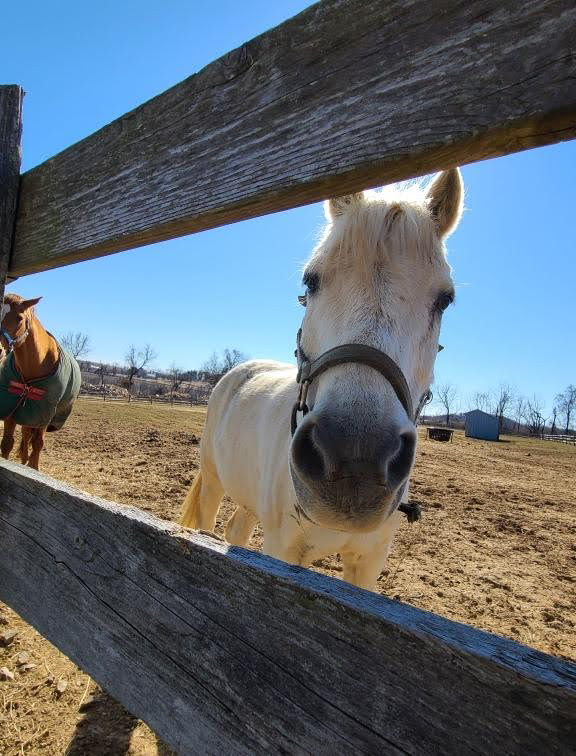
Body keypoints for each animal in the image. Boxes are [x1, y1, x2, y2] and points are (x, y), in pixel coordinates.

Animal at [0, 294, 81, 466]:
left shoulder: (44, 415)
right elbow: (7, 443)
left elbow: (37, 444)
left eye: (19, 318)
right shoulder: (12, 409)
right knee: (25, 435)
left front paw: (33, 468)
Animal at [182, 168, 466, 588]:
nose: (356, 460)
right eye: (310, 281)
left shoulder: (368, 563)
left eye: (444, 299)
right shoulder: (283, 550)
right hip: (212, 483)